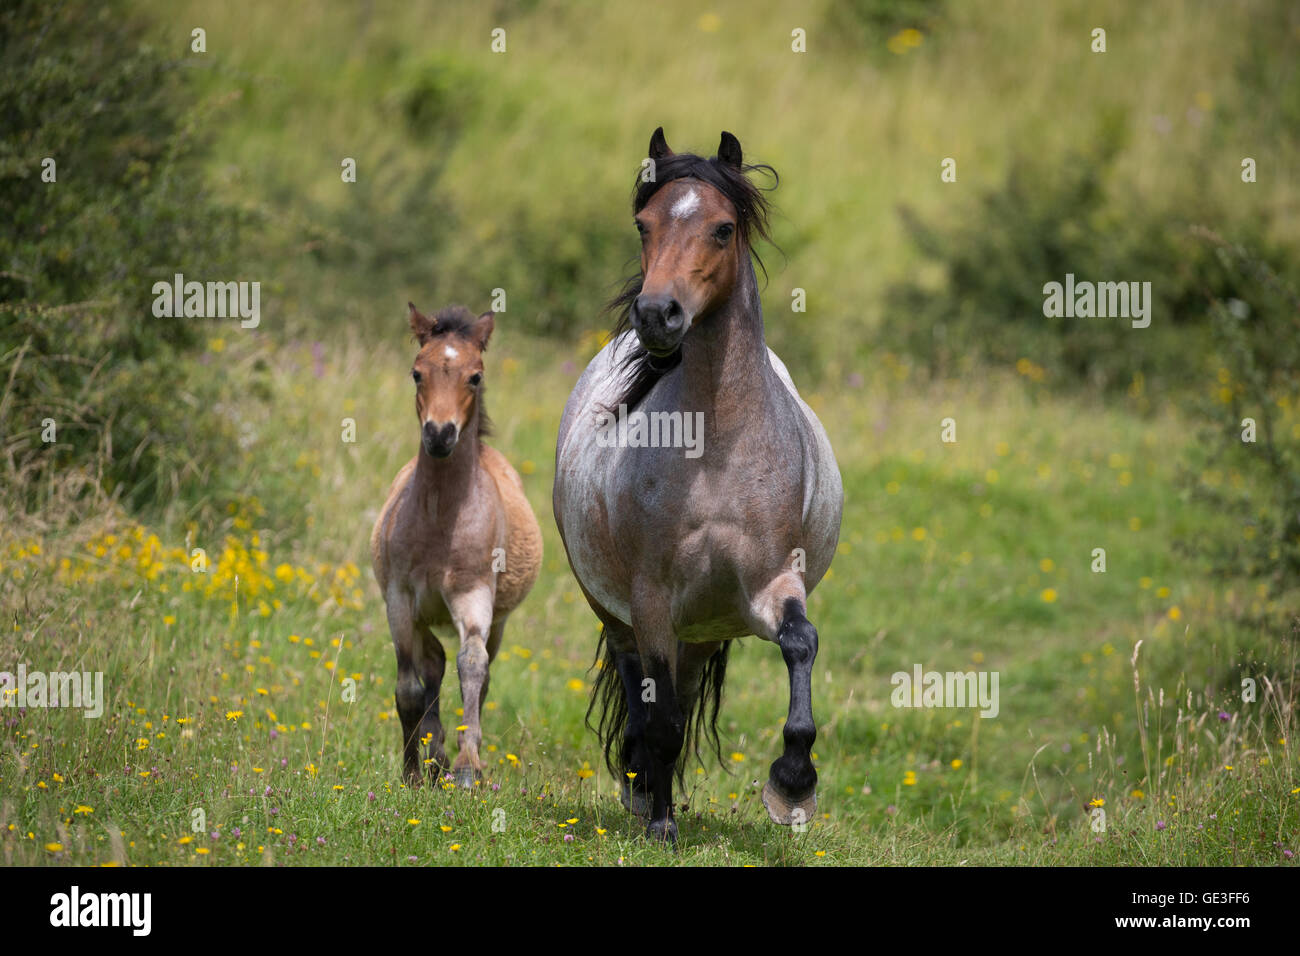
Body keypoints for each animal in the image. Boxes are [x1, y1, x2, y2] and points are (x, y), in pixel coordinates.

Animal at [551, 128, 842, 842]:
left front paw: (792, 786)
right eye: (644, 224)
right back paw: (644, 790)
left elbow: (801, 644)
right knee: (644, 692)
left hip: (707, 628)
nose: (658, 314)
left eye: (722, 227)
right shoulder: (651, 601)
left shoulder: (771, 584)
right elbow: (658, 717)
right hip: (623, 613)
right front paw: (659, 822)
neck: (714, 453)